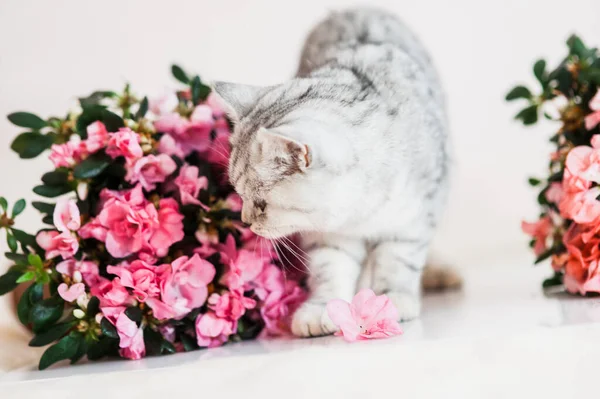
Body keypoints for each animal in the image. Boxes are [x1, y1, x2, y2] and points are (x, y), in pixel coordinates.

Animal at [213, 7, 452, 338]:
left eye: (261, 204)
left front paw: (392, 299)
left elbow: (397, 260)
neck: (360, 211)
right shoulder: (326, 233)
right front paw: (322, 309)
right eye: (239, 194)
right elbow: (330, 268)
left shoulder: (415, 217)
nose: (246, 221)